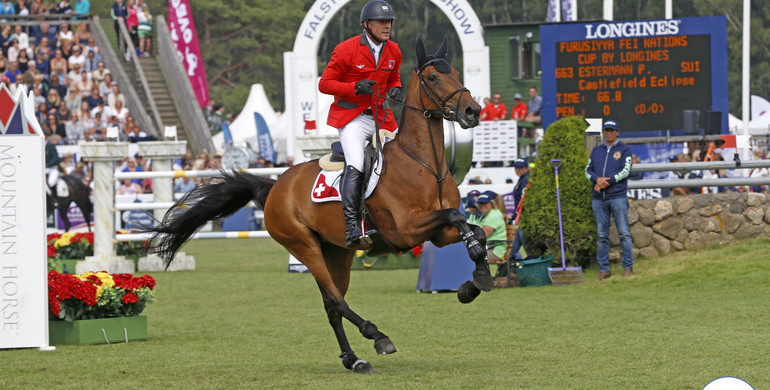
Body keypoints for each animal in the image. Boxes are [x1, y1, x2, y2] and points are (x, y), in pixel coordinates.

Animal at [147, 37, 488, 374]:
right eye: (433, 77)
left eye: (455, 72)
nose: (473, 111)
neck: (424, 165)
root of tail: (276, 186)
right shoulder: (406, 230)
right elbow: (456, 216)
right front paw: (474, 273)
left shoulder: (436, 233)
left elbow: (473, 229)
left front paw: (475, 281)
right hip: (304, 246)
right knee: (335, 300)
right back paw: (377, 337)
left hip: (338, 252)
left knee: (332, 303)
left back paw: (353, 359)